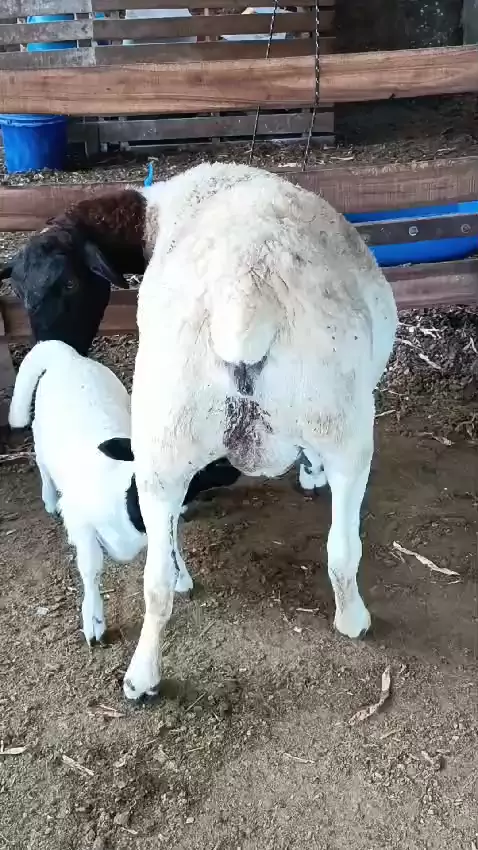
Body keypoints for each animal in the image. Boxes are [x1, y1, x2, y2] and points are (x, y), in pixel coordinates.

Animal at [8, 340, 241, 644]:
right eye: (202, 465)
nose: (236, 467)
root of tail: (67, 355)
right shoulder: (82, 522)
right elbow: (91, 568)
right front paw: (94, 620)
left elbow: (170, 546)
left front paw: (181, 577)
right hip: (40, 434)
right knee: (42, 462)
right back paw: (49, 499)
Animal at [110, 161, 397, 700]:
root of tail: (244, 292)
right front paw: (310, 472)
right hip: (345, 426)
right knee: (342, 550)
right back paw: (354, 620)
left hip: (162, 440)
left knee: (155, 579)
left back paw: (143, 672)